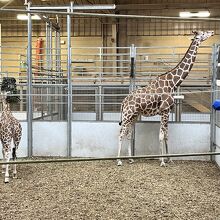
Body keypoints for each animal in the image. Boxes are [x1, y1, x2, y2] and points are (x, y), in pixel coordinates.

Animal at [117, 29, 214, 167]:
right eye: (203, 33)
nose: (212, 32)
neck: (173, 83)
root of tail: (124, 101)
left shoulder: (166, 111)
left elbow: (166, 135)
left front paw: (169, 159)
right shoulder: (164, 110)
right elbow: (162, 135)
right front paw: (162, 161)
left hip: (133, 116)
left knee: (128, 133)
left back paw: (130, 159)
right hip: (127, 115)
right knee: (121, 133)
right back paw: (119, 160)